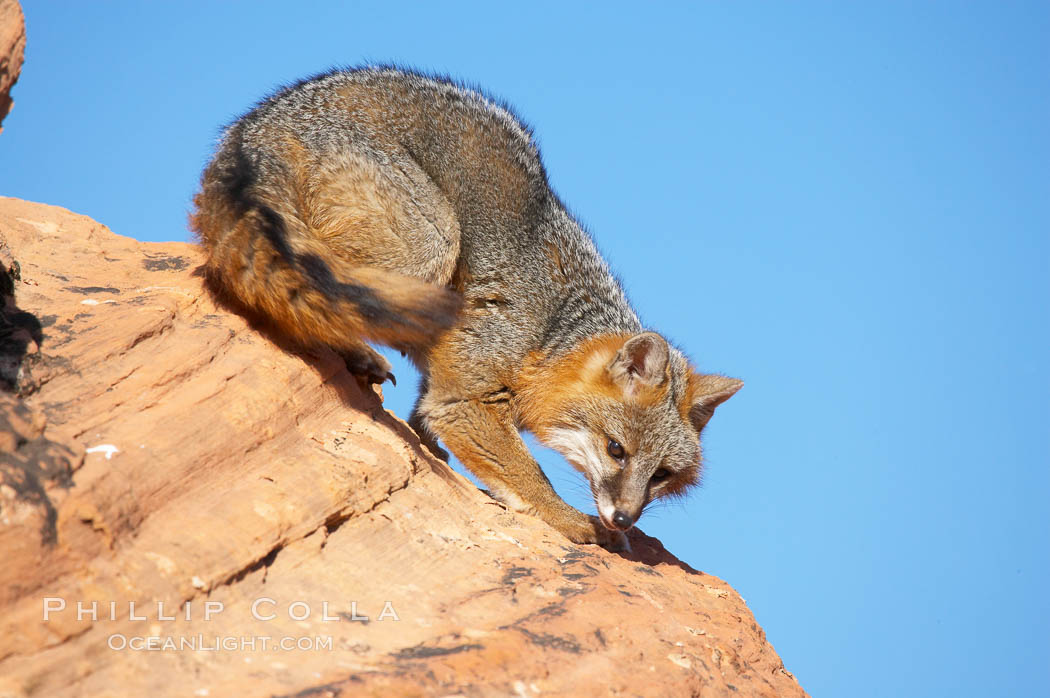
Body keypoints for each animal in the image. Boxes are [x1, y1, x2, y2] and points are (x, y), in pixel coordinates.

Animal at [193, 66, 743, 550]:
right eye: (616, 450)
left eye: (662, 476)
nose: (625, 518)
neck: (550, 334)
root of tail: (260, 121)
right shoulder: (466, 396)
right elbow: (526, 473)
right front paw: (570, 520)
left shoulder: (448, 375)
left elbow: (426, 415)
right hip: (431, 247)